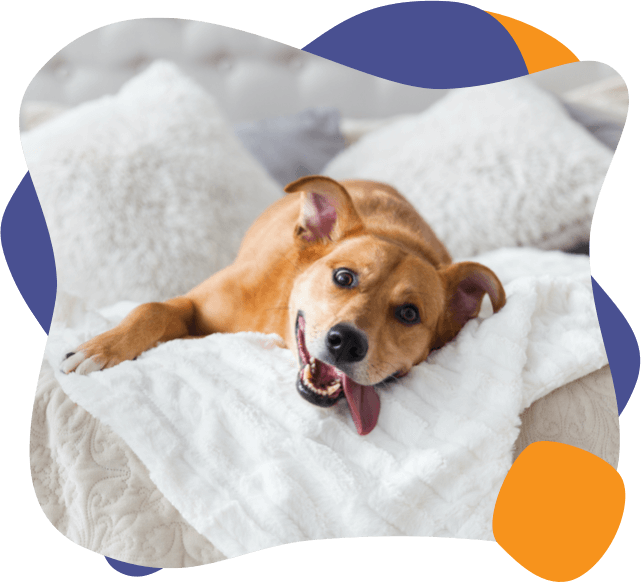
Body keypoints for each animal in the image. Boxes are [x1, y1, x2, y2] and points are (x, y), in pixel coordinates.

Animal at [61, 176, 504, 436]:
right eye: (344, 277)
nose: (347, 342)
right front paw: (100, 348)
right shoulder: (192, 305)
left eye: (409, 314)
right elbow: (152, 308)